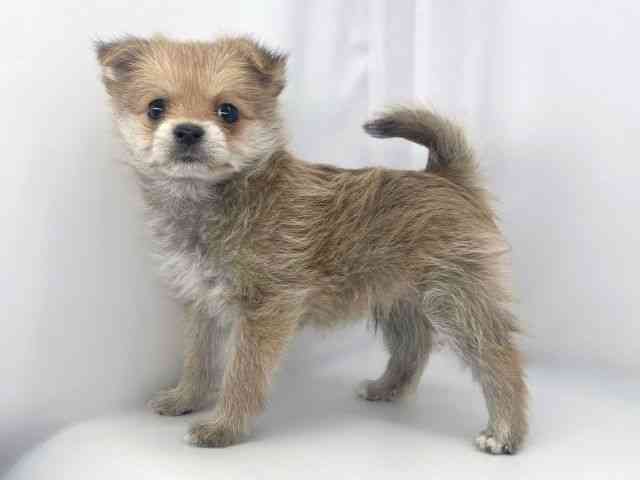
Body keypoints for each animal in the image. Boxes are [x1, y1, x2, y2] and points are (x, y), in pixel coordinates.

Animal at [95, 35, 527, 454]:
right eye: (156, 108)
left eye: (228, 112)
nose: (187, 130)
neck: (216, 197)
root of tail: (446, 177)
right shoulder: (202, 303)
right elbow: (198, 357)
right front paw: (185, 397)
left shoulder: (266, 310)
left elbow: (242, 373)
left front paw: (224, 427)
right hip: (398, 298)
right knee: (413, 346)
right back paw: (386, 388)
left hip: (456, 299)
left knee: (498, 356)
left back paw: (505, 431)